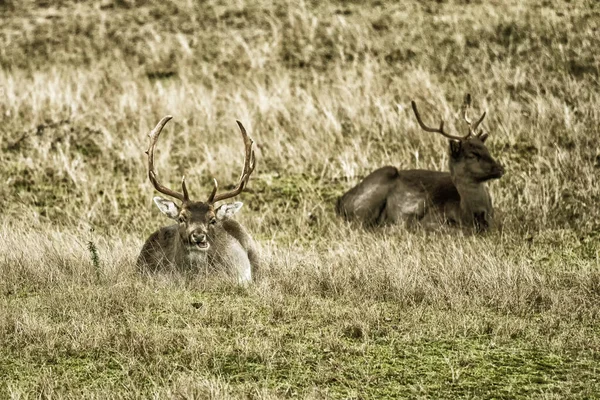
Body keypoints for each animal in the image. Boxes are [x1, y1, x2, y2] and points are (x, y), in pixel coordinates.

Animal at [336, 94, 504, 233]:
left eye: (486, 148)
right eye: (472, 154)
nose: (500, 168)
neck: (467, 213)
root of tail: (340, 202)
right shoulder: (431, 219)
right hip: (371, 196)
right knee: (360, 225)